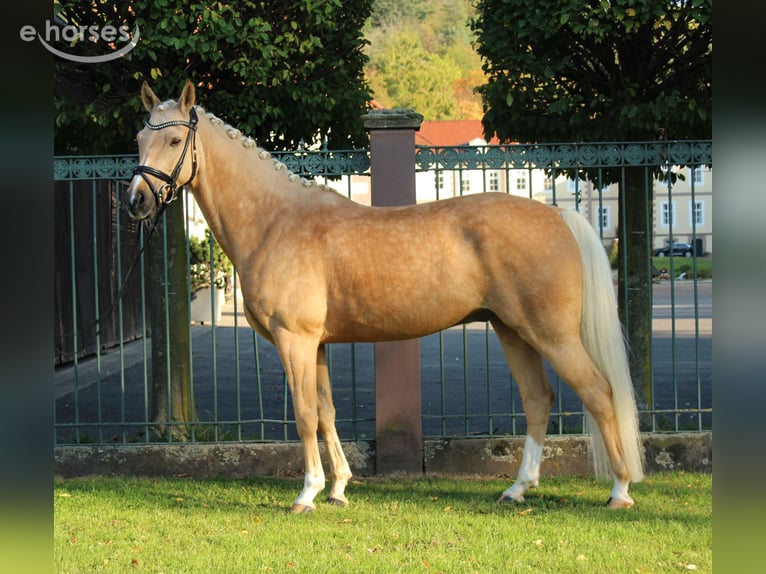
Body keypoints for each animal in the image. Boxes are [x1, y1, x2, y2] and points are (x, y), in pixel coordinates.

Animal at [126, 80, 644, 513]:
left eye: (174, 141)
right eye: (137, 139)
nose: (137, 200)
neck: (275, 220)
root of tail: (559, 217)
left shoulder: (295, 341)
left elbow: (304, 414)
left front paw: (308, 493)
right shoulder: (316, 345)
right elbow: (327, 412)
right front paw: (337, 488)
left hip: (552, 335)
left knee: (599, 392)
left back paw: (619, 491)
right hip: (513, 331)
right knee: (539, 398)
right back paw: (517, 489)